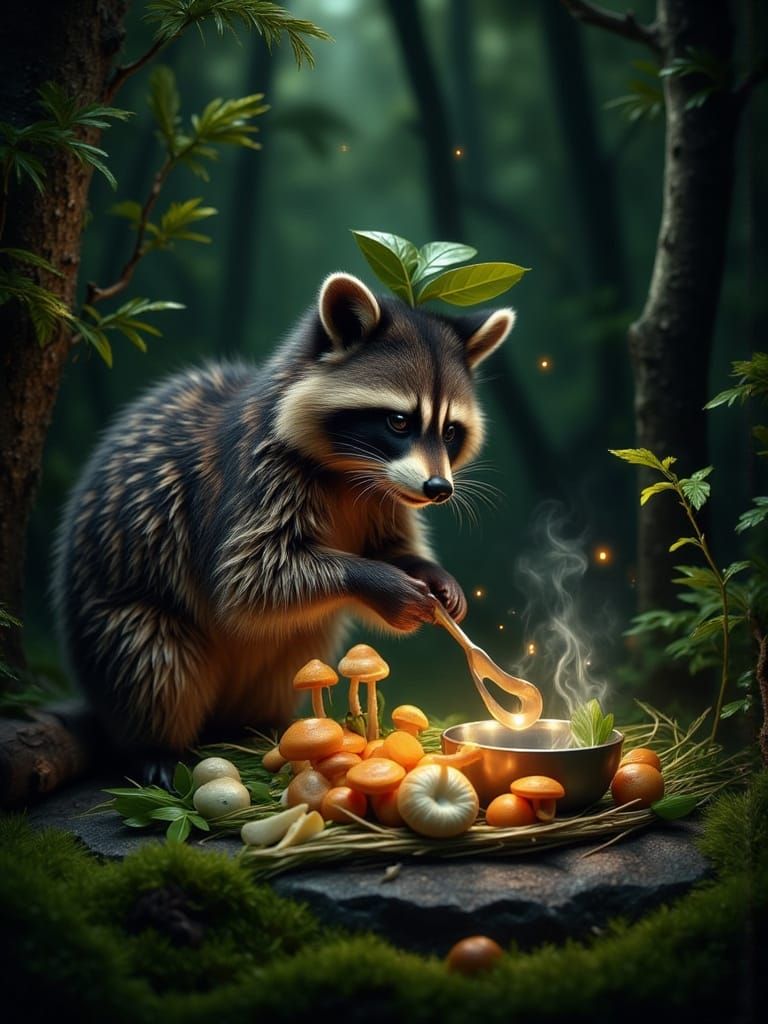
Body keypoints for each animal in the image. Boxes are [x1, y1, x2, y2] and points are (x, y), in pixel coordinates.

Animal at [52, 273, 515, 782]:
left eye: (450, 431)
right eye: (398, 421)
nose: (438, 489)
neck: (354, 472)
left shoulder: (386, 498)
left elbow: (386, 546)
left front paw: (428, 574)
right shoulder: (254, 475)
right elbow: (250, 577)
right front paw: (385, 582)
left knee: (298, 637)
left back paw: (265, 726)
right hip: (121, 619)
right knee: (151, 657)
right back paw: (154, 744)